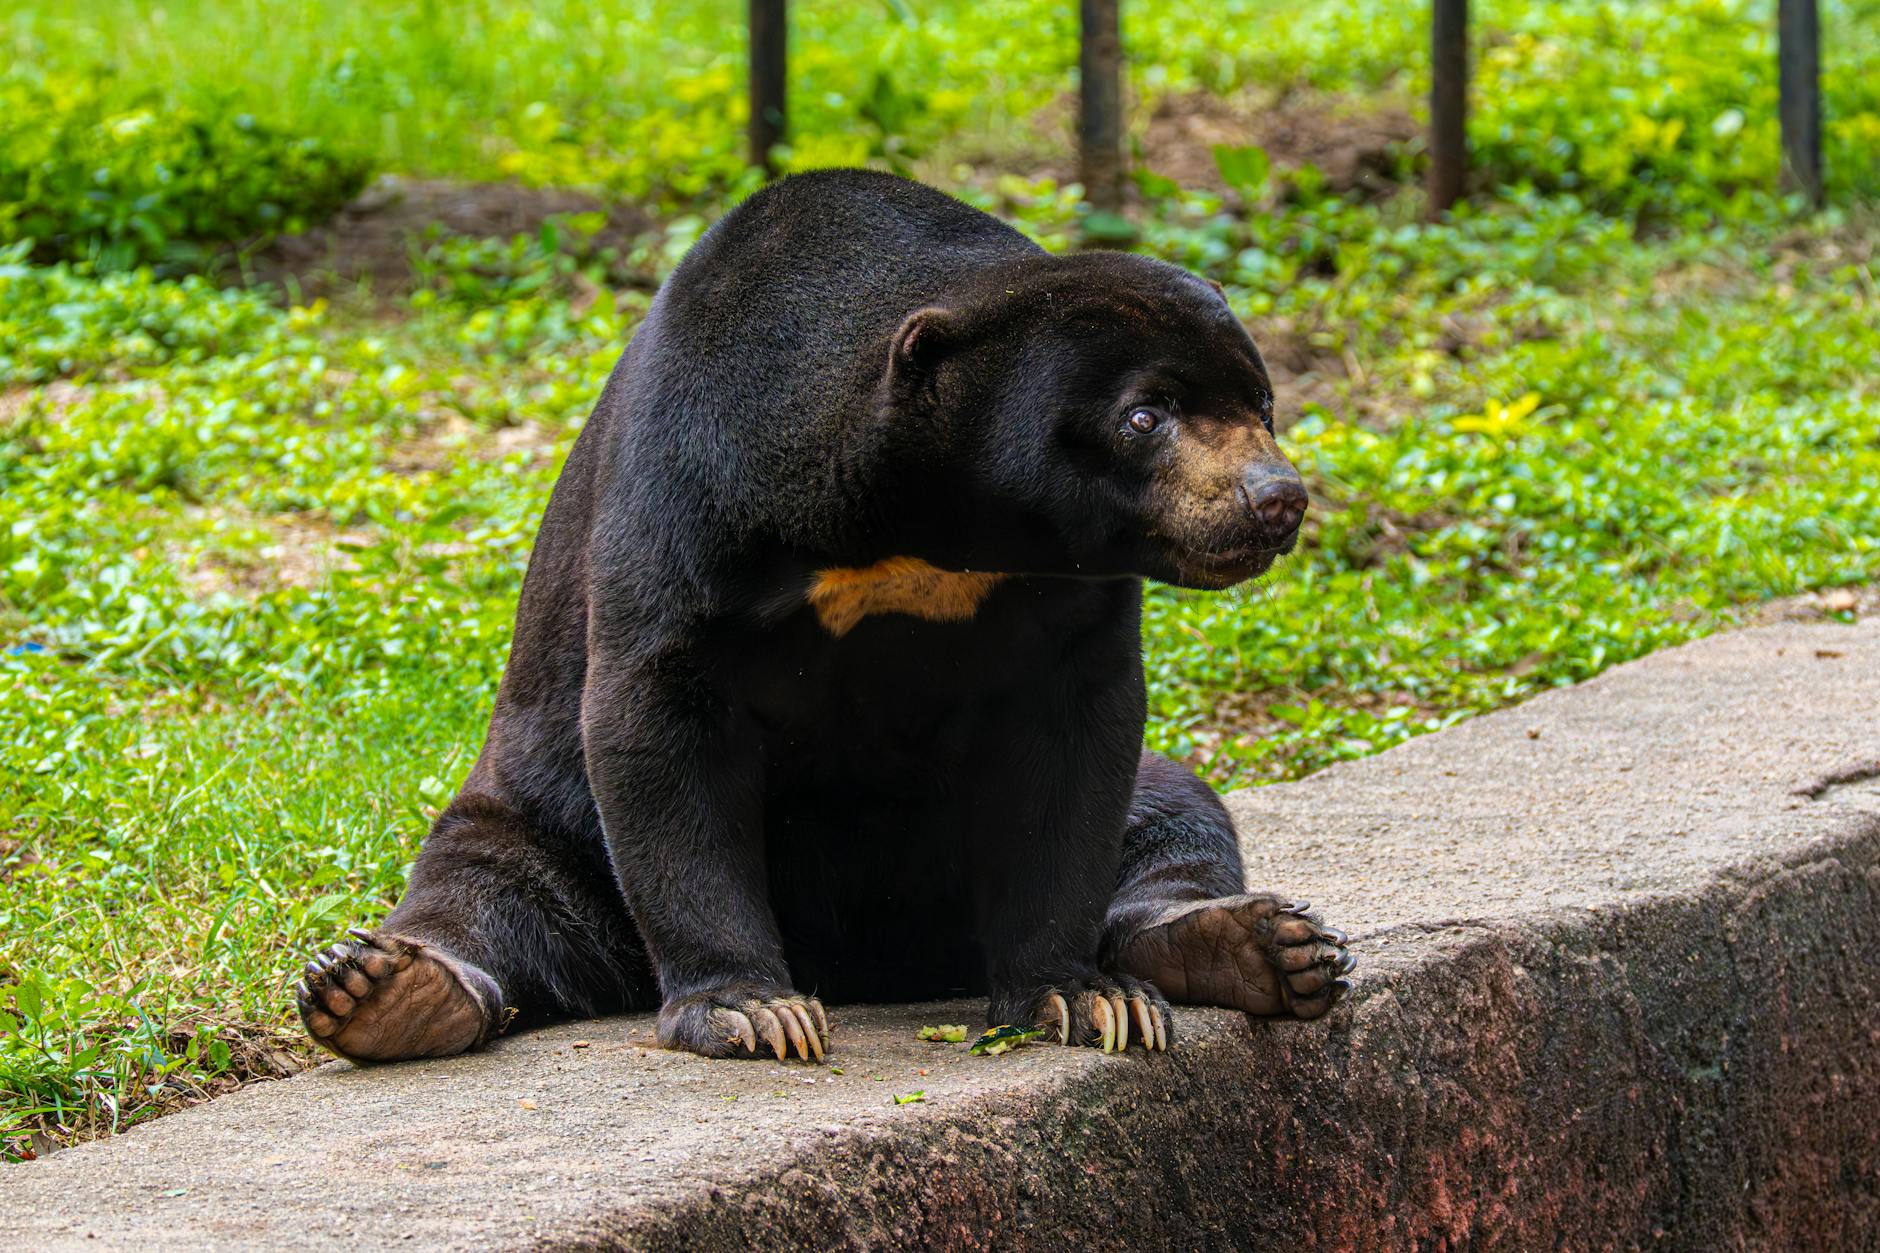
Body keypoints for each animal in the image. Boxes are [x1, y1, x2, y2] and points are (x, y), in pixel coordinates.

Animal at [296, 169, 1352, 1064]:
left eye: (1262, 405)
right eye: (1146, 415)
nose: (1276, 499)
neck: (919, 526)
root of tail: (882, 967)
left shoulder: (1066, 590)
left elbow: (1077, 743)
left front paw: (1083, 996)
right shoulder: (691, 492)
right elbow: (657, 712)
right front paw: (754, 1010)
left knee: (1178, 810)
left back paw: (1263, 944)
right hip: (546, 819)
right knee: (487, 885)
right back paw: (384, 988)